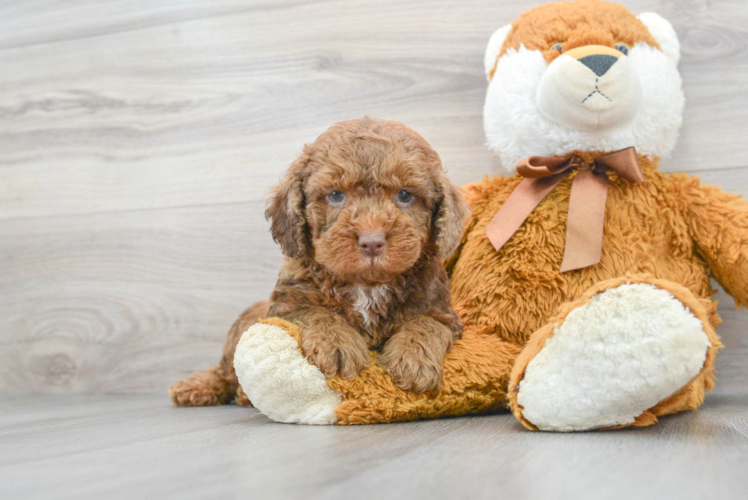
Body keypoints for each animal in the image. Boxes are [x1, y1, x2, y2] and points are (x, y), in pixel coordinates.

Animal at [171, 117, 468, 406]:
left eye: (405, 195)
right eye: (336, 195)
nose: (372, 242)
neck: (367, 285)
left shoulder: (444, 314)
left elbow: (427, 324)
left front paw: (413, 358)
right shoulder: (287, 306)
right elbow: (316, 312)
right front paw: (337, 345)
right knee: (224, 371)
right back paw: (196, 387)